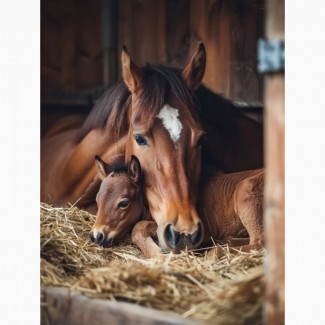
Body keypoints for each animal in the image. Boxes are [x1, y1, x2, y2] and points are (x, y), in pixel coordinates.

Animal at [89, 154, 264, 258]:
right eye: (97, 200)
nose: (96, 236)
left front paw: (156, 254)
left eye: (124, 203)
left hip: (245, 190)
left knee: (259, 243)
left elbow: (139, 226)